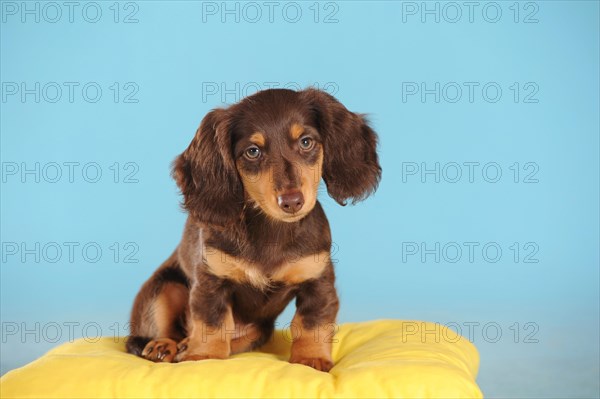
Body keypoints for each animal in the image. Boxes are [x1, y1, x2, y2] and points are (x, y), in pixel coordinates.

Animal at [125, 87, 382, 372]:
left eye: (306, 142)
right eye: (252, 151)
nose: (291, 201)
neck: (271, 229)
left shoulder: (318, 279)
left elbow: (311, 323)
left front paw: (311, 359)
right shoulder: (211, 280)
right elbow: (211, 323)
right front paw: (203, 357)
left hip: (259, 329)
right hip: (164, 288)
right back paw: (165, 346)